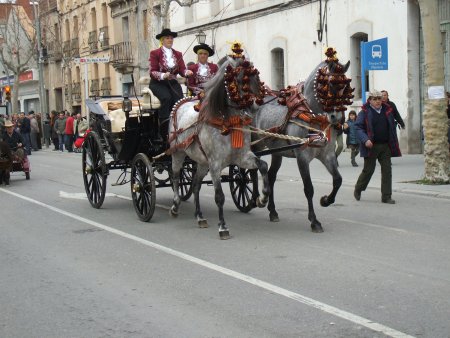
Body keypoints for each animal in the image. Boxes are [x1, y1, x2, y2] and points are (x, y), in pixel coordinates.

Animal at [168, 44, 268, 240]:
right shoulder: (215, 164)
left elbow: (263, 165)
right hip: (178, 153)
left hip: (201, 163)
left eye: (256, 76)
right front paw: (223, 227)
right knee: (176, 177)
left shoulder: (242, 157)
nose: (256, 105)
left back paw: (199, 217)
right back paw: (175, 205)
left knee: (195, 185)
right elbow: (219, 196)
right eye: (241, 79)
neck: (227, 121)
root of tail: (181, 103)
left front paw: (262, 198)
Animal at [251, 47, 354, 232]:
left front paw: (326, 200)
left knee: (270, 176)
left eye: (346, 88)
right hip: (256, 145)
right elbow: (308, 188)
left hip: (277, 153)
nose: (337, 118)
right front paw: (314, 220)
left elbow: (338, 180)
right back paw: (256, 197)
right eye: (328, 86)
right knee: (253, 169)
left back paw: (272, 211)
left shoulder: (327, 155)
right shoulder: (302, 158)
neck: (313, 116)